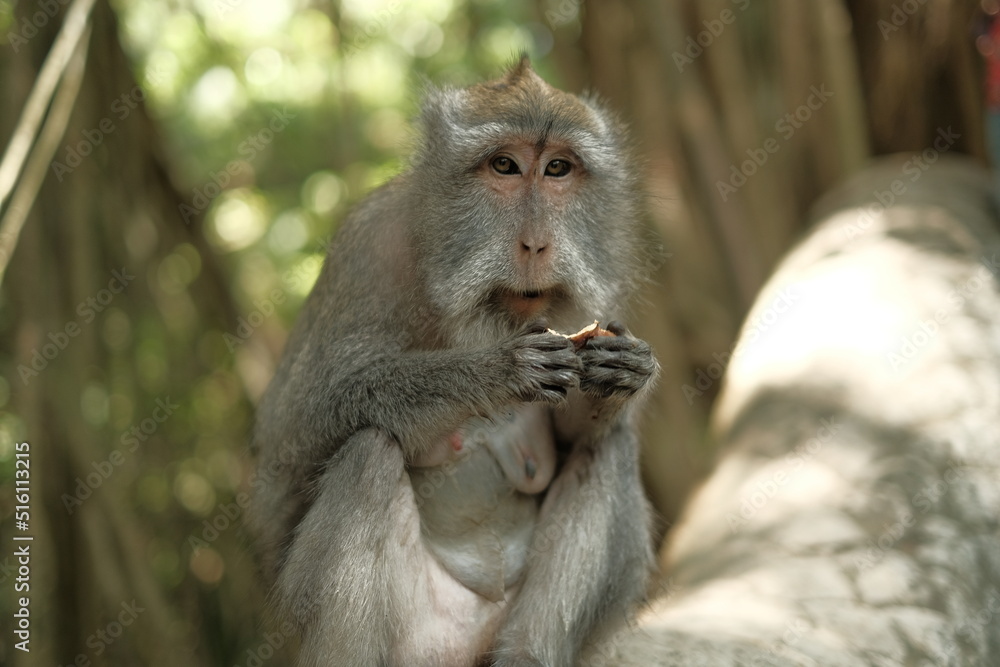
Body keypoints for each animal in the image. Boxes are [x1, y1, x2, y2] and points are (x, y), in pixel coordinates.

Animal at [248, 57, 657, 667]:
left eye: (558, 169)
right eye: (504, 166)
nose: (535, 244)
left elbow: (579, 434)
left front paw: (622, 374)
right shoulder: (366, 250)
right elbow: (292, 436)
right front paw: (498, 371)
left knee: (605, 448)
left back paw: (528, 655)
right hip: (418, 638)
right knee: (369, 455)